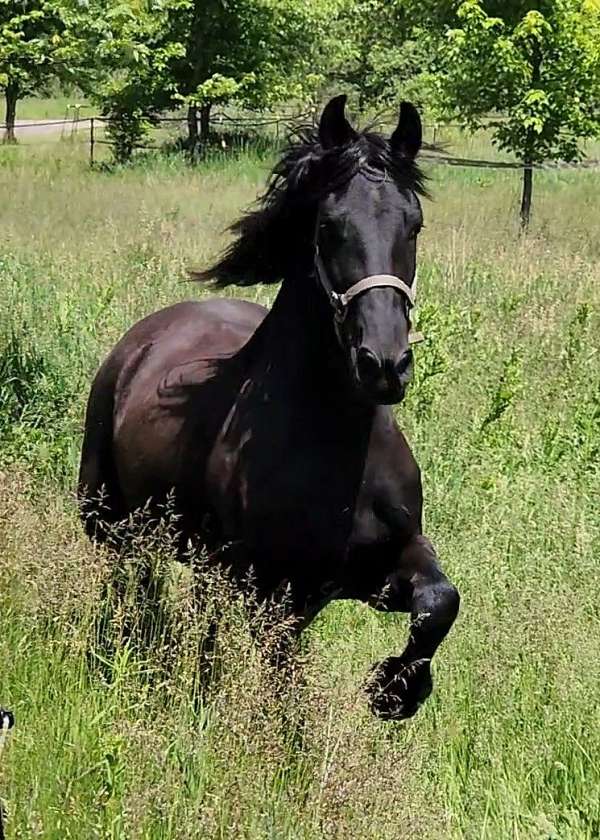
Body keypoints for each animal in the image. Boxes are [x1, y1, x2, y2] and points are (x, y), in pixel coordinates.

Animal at [78, 95, 460, 720]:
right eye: (329, 226)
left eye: (415, 225)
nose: (383, 364)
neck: (333, 448)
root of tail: (144, 336)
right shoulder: (276, 591)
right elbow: (285, 689)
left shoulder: (388, 560)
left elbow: (440, 602)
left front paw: (395, 689)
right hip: (108, 517)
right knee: (126, 582)